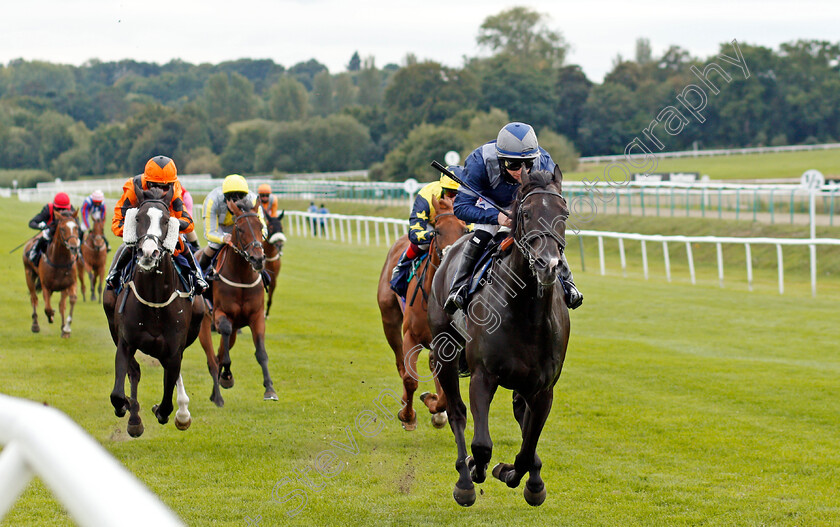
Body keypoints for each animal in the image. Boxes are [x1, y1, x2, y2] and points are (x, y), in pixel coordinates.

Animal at [23, 210, 80, 338]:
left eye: (76, 227)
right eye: (62, 228)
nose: (74, 247)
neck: (60, 261)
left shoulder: (69, 284)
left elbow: (69, 302)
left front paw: (66, 329)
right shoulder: (46, 286)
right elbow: (47, 308)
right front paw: (51, 316)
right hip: (29, 274)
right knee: (34, 298)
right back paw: (35, 325)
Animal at [197, 198, 276, 408]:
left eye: (260, 226)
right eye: (239, 229)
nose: (258, 258)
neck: (242, 277)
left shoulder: (256, 317)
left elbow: (261, 353)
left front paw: (270, 389)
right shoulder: (220, 315)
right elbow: (223, 343)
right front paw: (227, 376)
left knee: (219, 352)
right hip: (203, 325)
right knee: (212, 359)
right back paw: (217, 396)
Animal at [378, 196, 470, 432]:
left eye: (465, 229)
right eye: (437, 230)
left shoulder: (449, 343)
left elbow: (445, 392)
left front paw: (436, 407)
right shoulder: (411, 336)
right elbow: (410, 379)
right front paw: (408, 416)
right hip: (389, 319)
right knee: (401, 365)